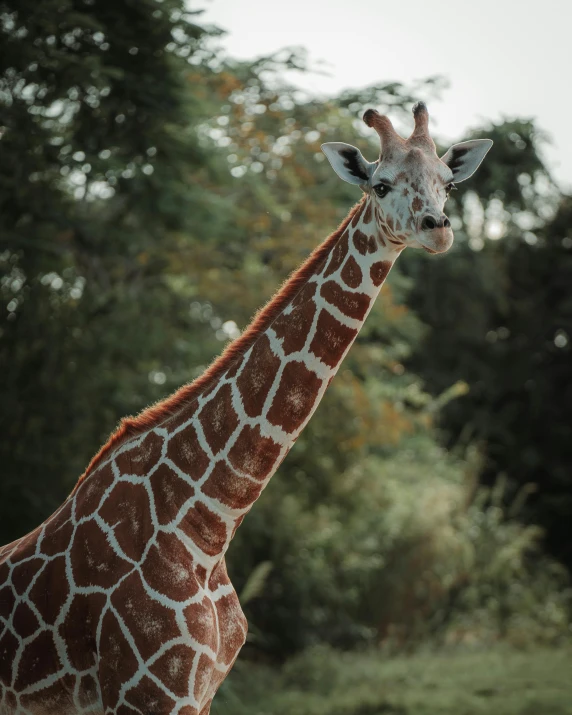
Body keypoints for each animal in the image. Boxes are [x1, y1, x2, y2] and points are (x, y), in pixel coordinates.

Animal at [0, 102, 492, 715]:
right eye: (379, 184)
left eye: (448, 183)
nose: (438, 229)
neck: (206, 526)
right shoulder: (150, 693)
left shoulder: (200, 693)